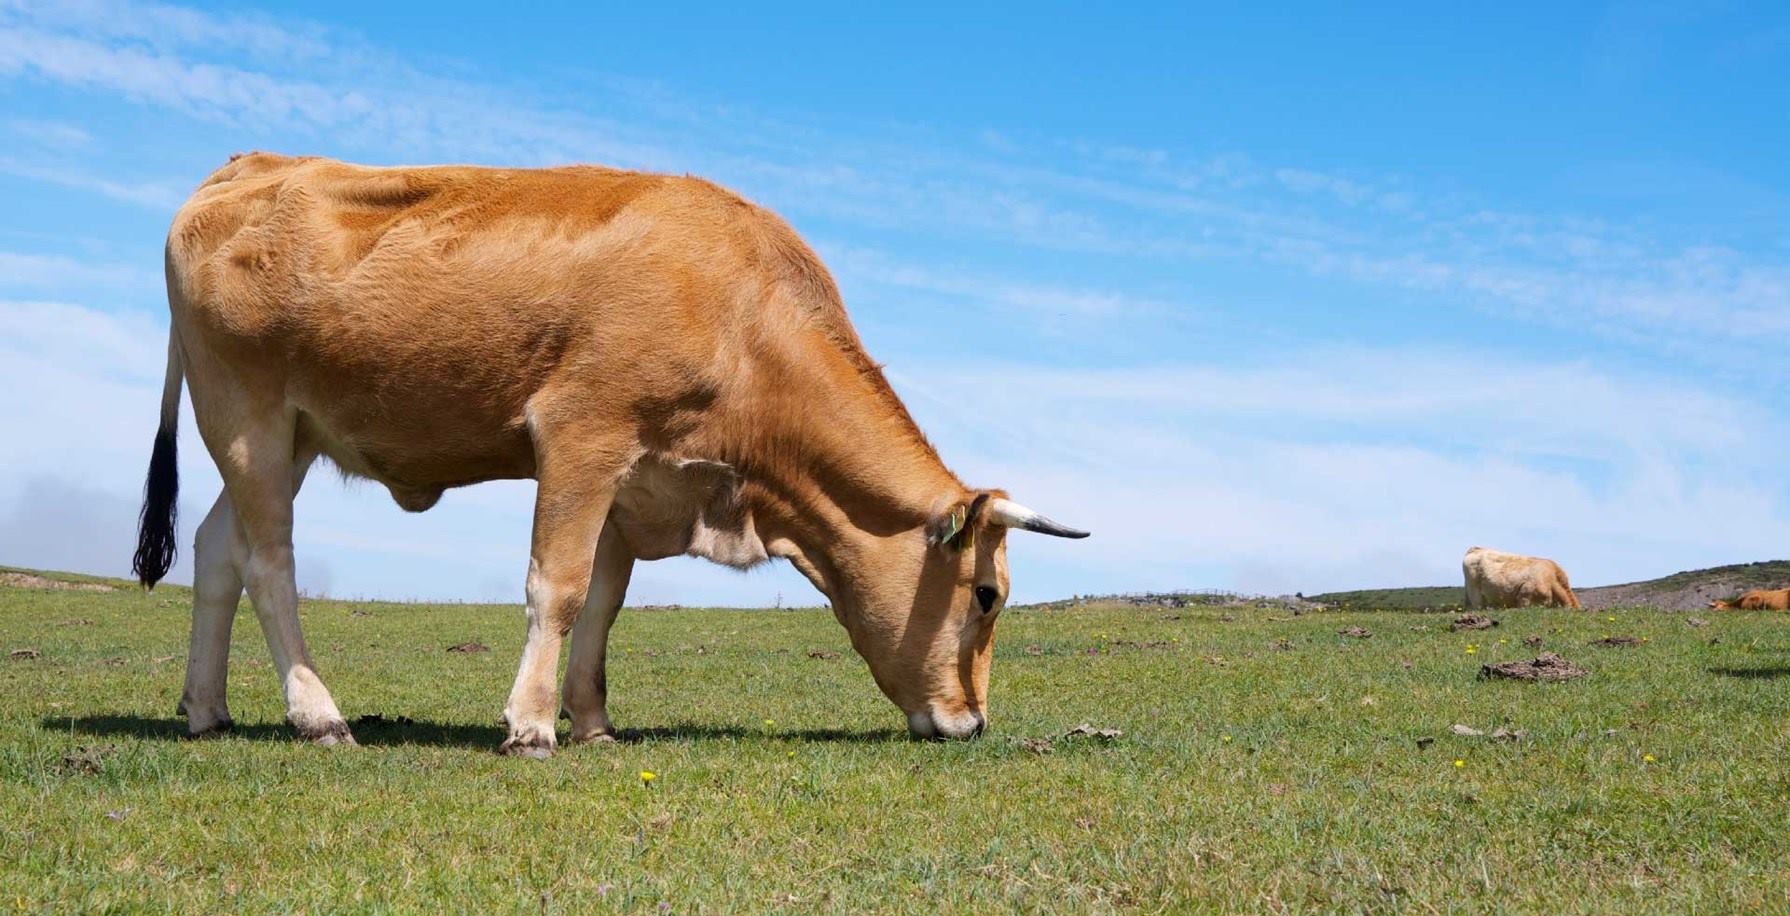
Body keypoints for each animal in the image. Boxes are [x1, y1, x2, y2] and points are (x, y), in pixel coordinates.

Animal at [132, 153, 1081, 754]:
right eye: (988, 596)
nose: (973, 723)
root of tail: (248, 163)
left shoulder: (637, 481)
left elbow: (602, 602)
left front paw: (591, 723)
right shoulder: (580, 436)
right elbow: (557, 587)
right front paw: (529, 728)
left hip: (288, 436)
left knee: (217, 550)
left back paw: (206, 708)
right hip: (246, 416)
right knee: (269, 564)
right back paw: (318, 715)